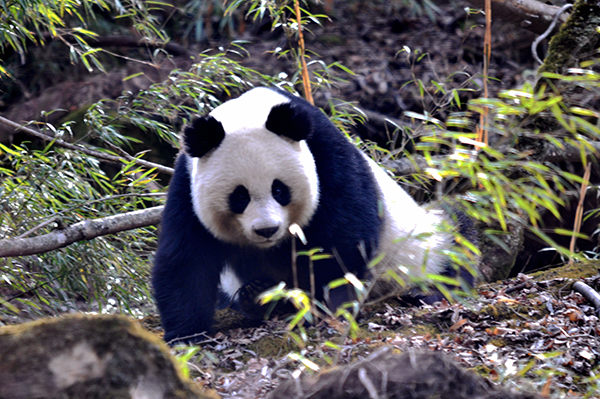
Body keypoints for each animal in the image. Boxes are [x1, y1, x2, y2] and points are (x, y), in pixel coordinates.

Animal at [150, 87, 474, 344]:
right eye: (239, 196)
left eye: (279, 189)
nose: (267, 230)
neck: (251, 112)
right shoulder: (186, 186)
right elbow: (186, 258)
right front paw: (186, 335)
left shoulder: (326, 158)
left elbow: (344, 241)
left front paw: (329, 308)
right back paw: (258, 295)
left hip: (423, 244)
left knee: (457, 236)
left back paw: (429, 291)